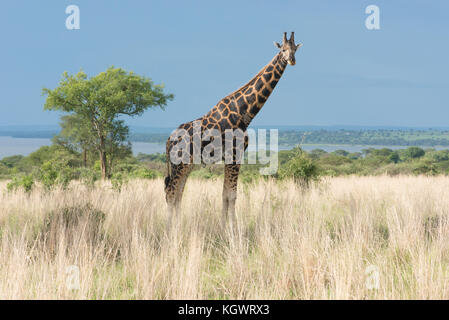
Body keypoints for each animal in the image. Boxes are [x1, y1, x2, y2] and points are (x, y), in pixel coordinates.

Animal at [164, 31, 300, 224]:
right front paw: (232, 228)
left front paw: (224, 226)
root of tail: (168, 141)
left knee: (178, 193)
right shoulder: (235, 154)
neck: (244, 112)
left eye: (295, 49)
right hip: (178, 163)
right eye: (282, 49)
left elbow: (225, 194)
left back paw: (178, 224)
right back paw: (169, 228)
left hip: (185, 165)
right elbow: (231, 195)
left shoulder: (232, 156)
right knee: (171, 192)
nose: (292, 60)